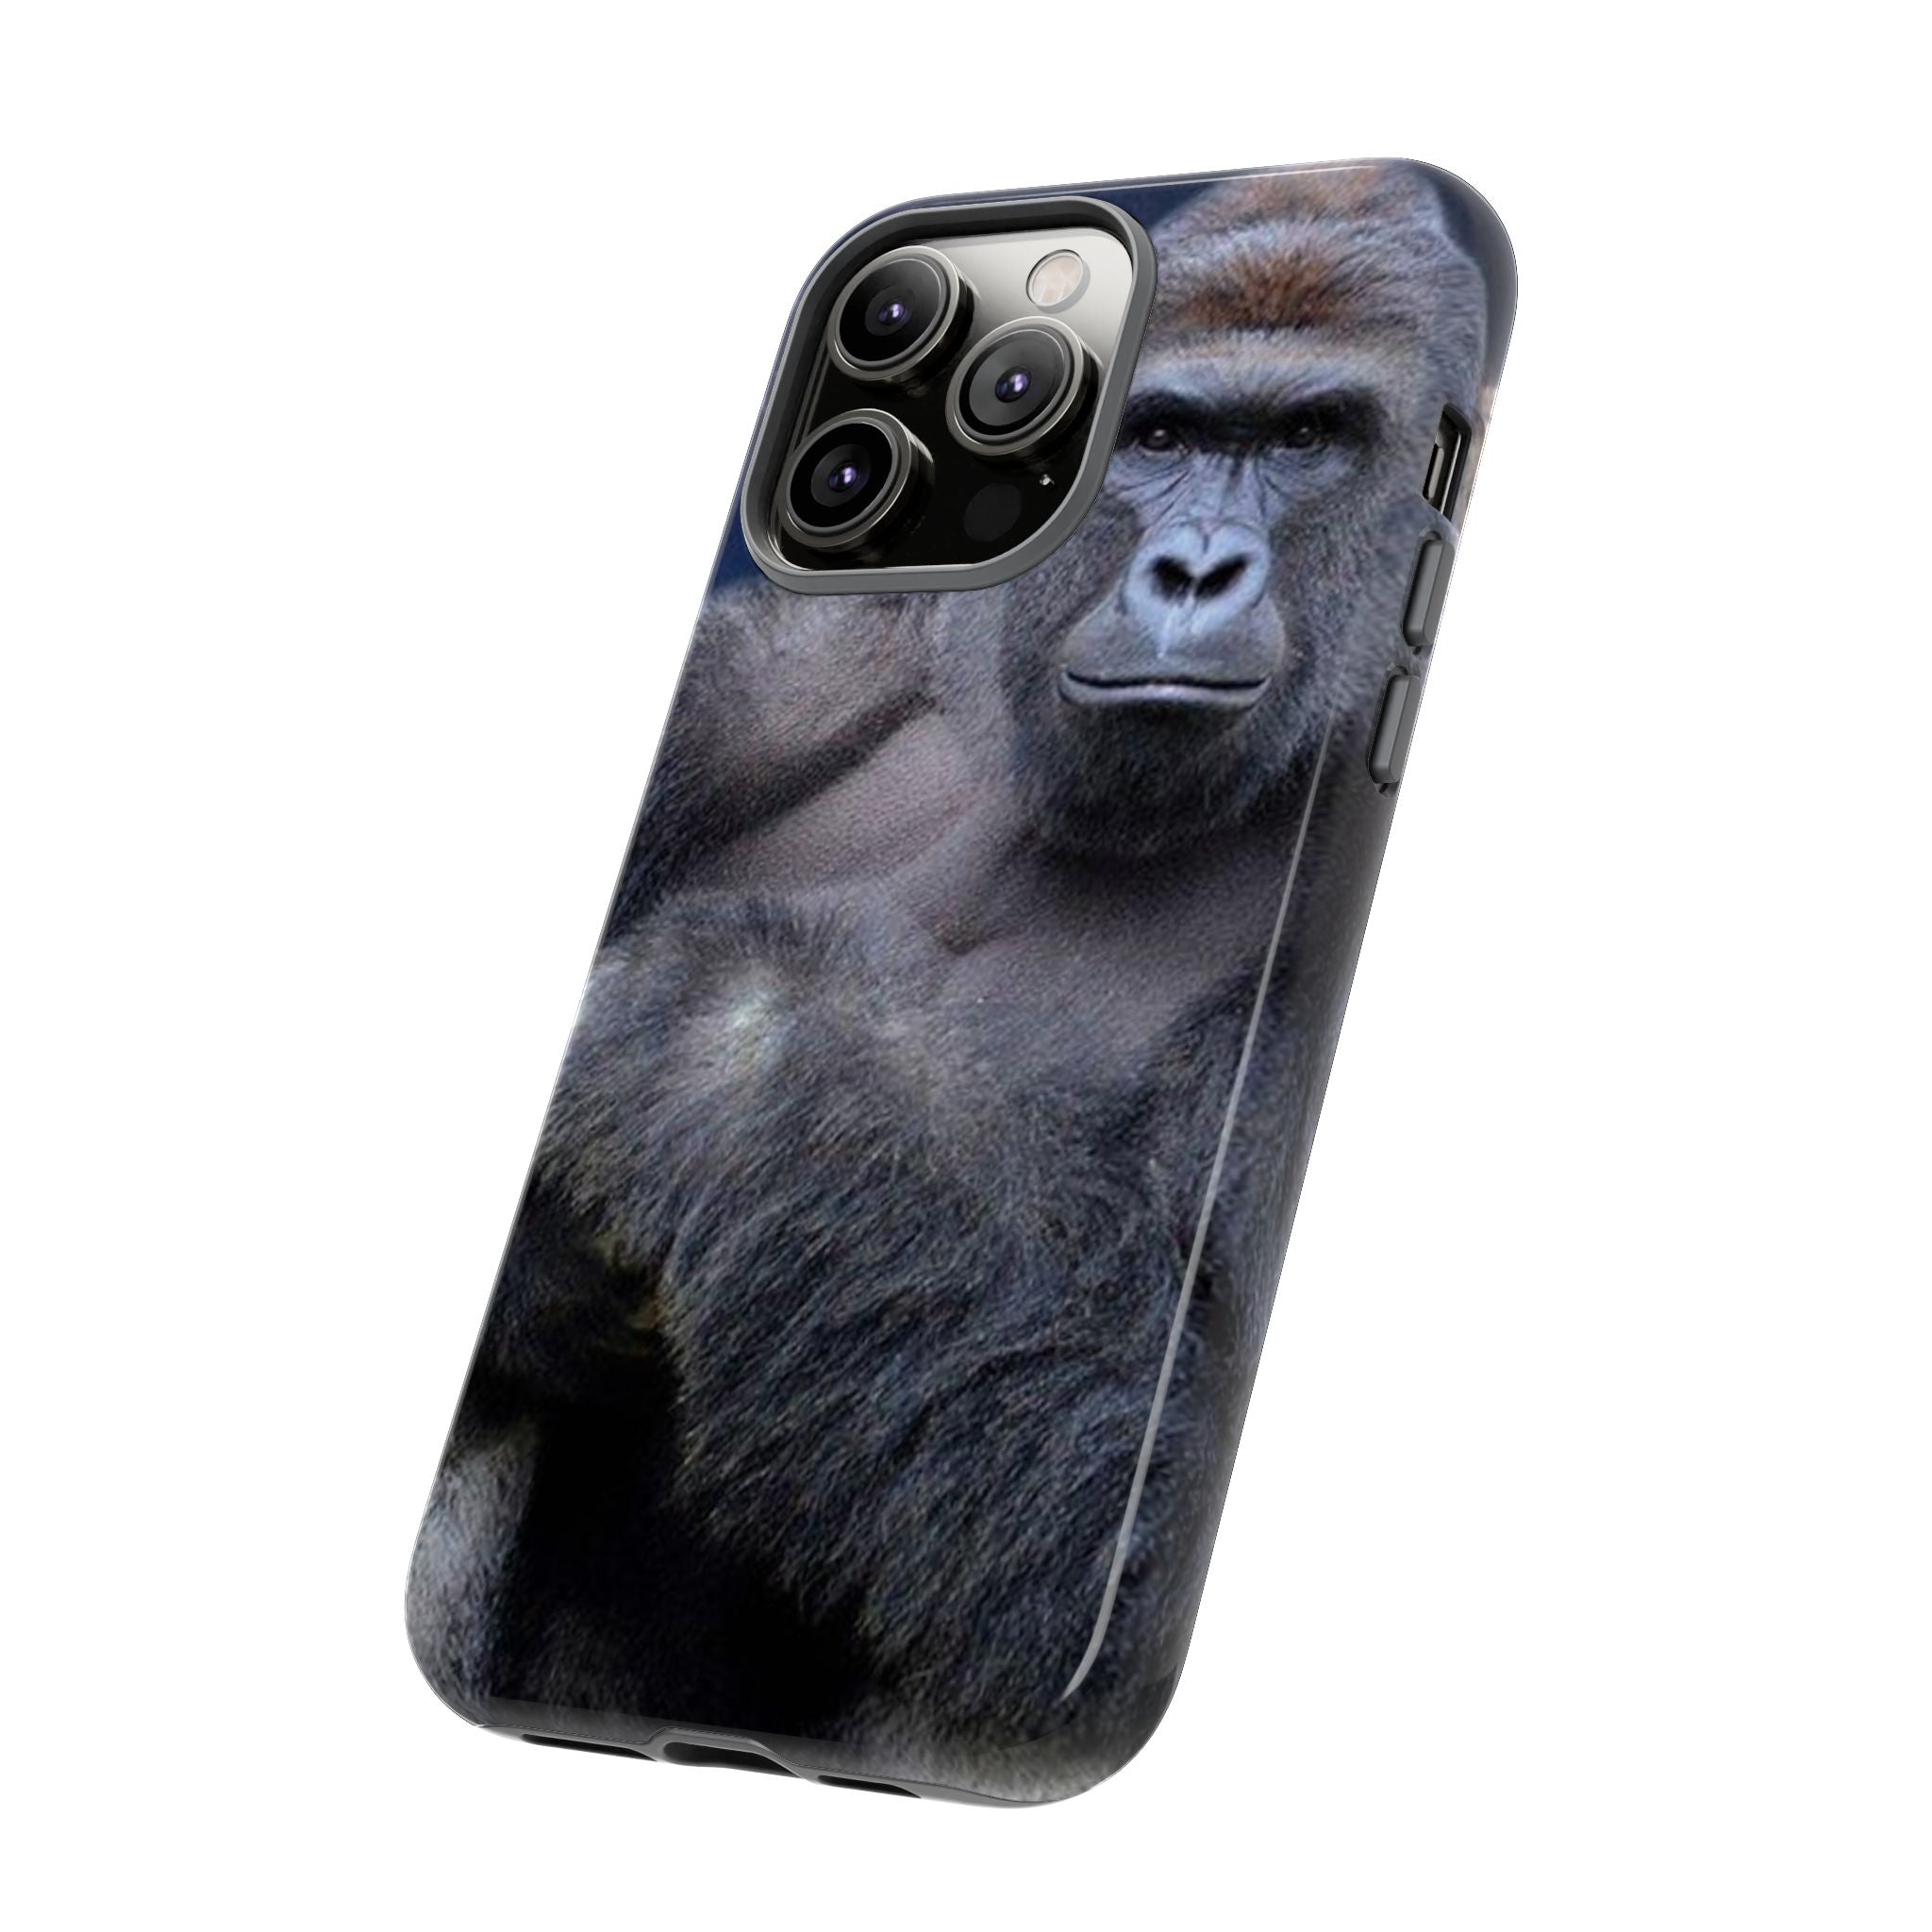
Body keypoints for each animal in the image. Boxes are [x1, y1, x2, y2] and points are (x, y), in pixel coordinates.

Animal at [409, 163, 1491, 1796]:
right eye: (1162, 437)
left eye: (1309, 438)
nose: (1193, 572)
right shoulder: (786, 670)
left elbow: (1123, 1506)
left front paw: (726, 1044)